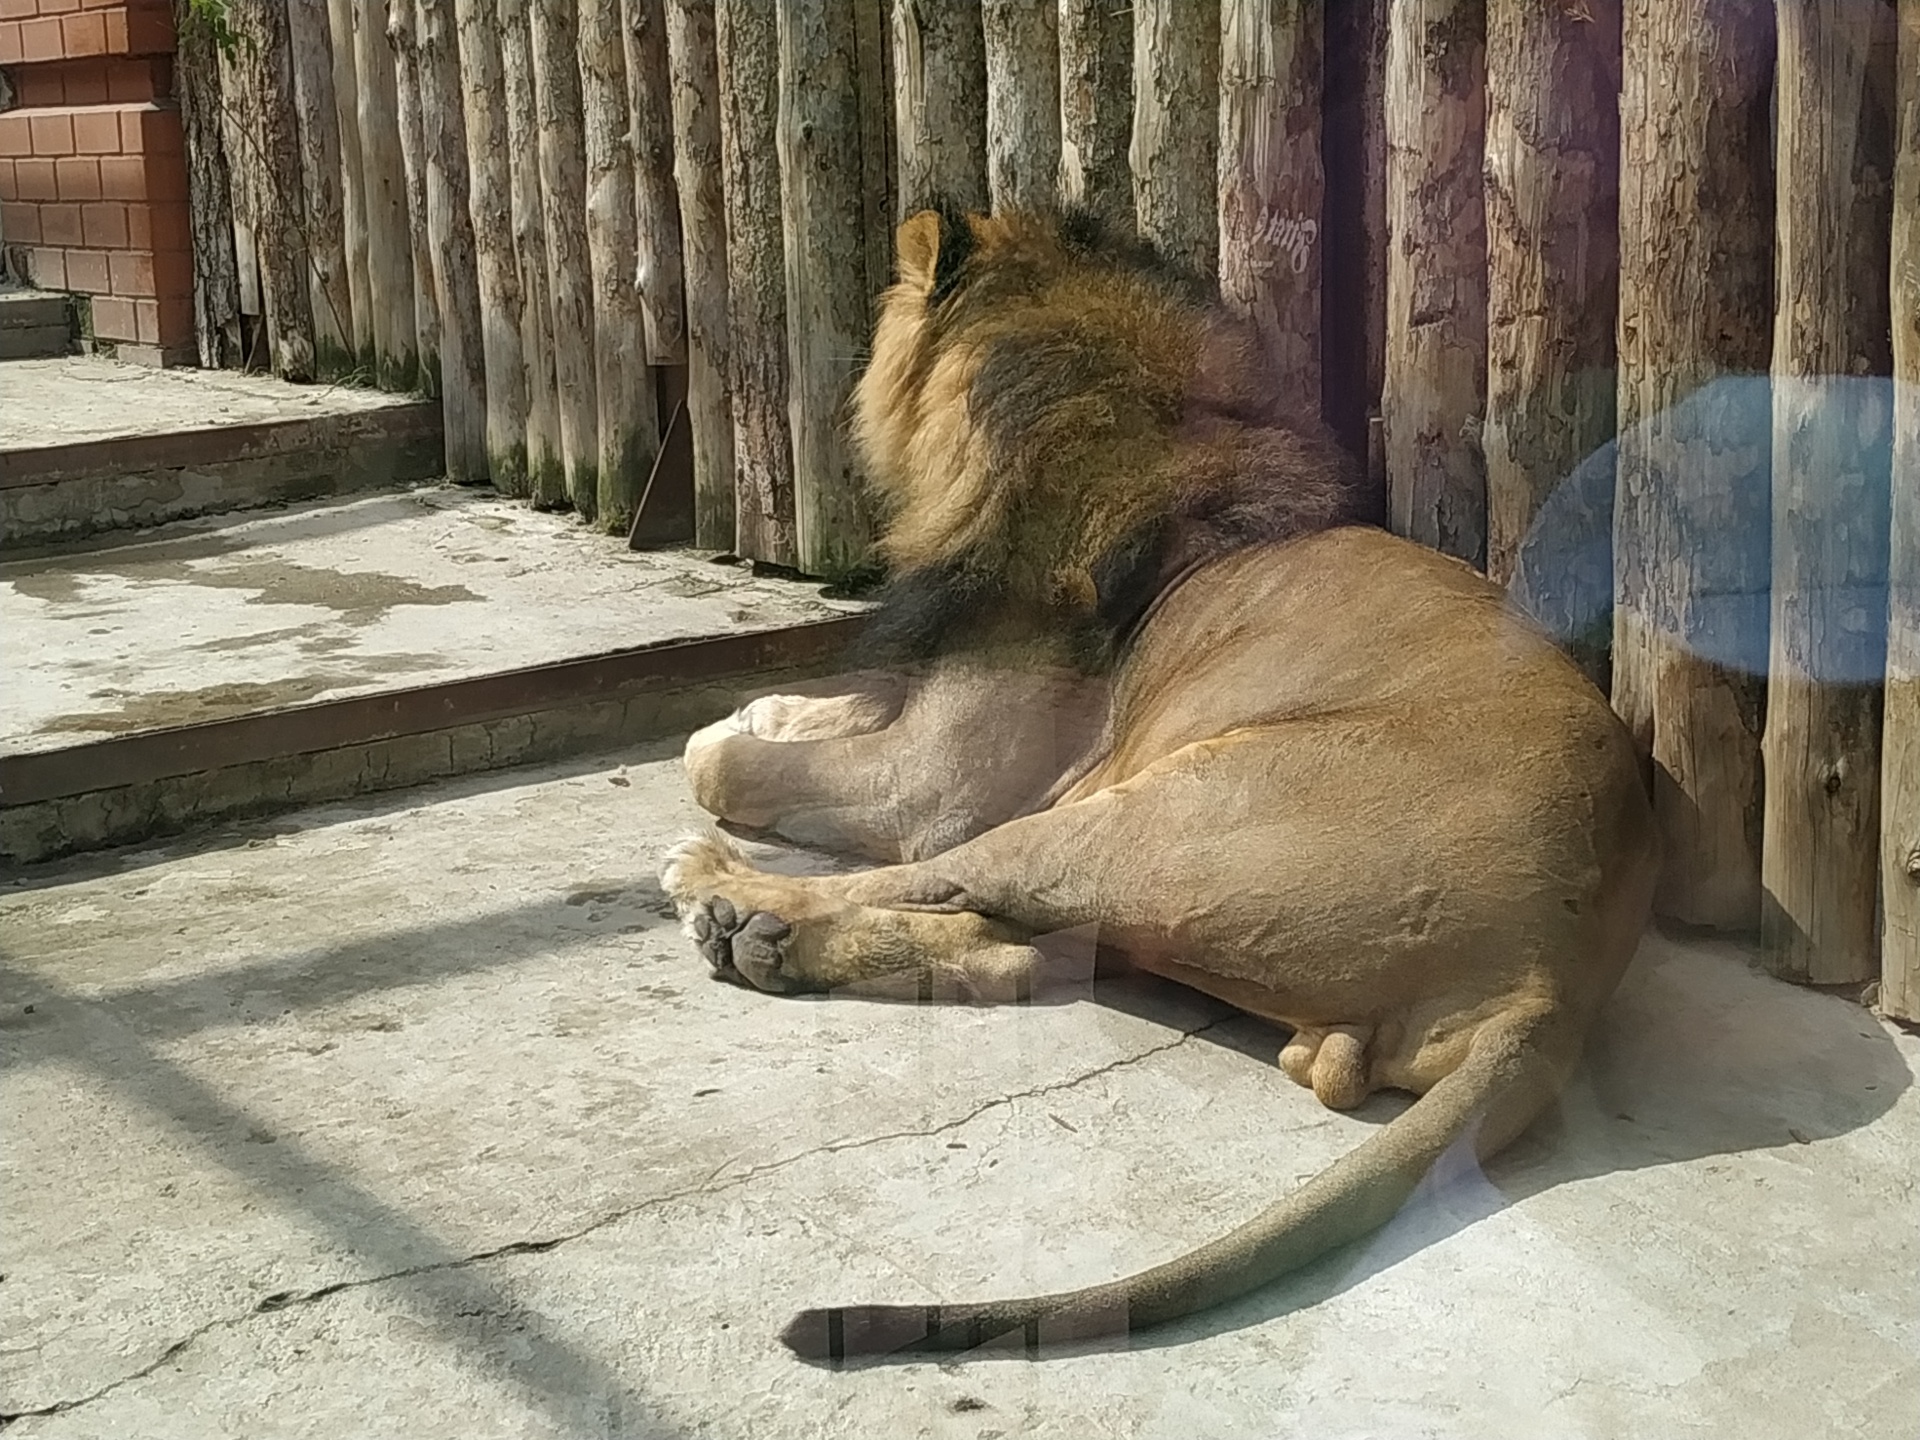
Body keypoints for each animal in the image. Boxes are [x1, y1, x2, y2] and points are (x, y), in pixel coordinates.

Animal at [656, 205, 1651, 1367]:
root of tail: (1554, 984)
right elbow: (817, 718)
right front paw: (767, 711)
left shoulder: (934, 787)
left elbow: (727, 763)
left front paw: (726, 768)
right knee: (1013, 951)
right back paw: (770, 943)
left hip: (1144, 815)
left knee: (945, 894)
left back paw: (731, 900)